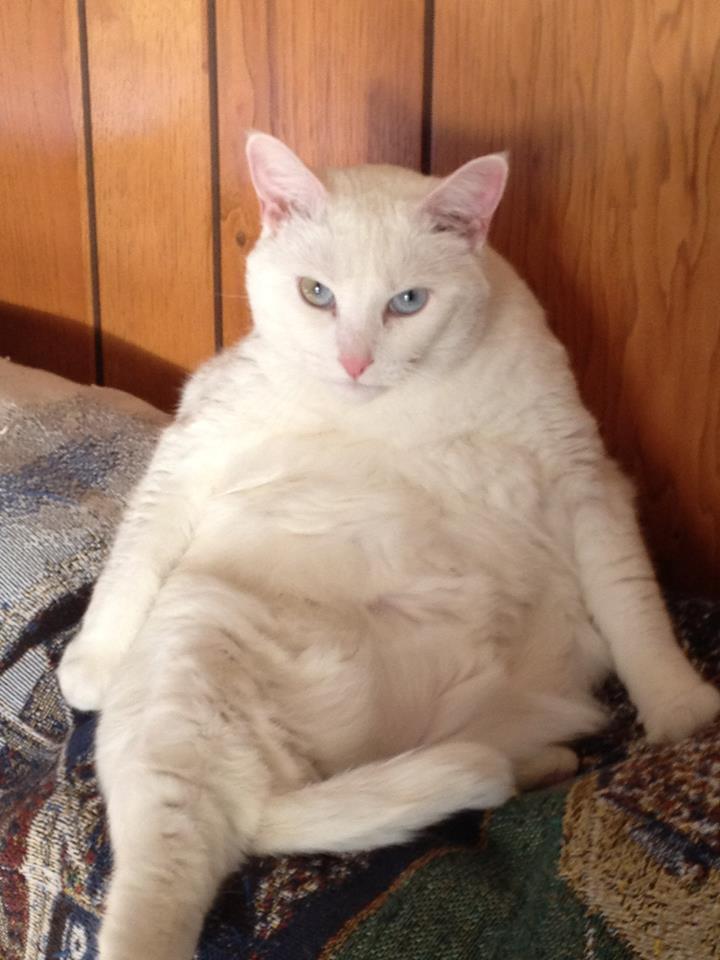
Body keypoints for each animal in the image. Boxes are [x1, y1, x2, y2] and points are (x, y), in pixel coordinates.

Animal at [57, 133, 720, 960]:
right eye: (316, 294)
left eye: (408, 302)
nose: (355, 361)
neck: (388, 411)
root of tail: (267, 804)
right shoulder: (197, 440)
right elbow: (136, 546)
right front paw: (89, 663)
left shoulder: (583, 476)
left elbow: (633, 605)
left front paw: (678, 707)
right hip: (192, 640)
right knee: (160, 877)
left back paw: (530, 766)